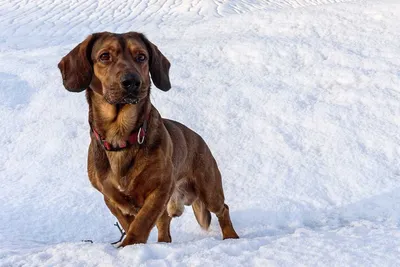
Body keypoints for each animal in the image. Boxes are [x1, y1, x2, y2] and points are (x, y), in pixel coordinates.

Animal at [57, 32, 239, 248]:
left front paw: (129, 246)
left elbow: (142, 222)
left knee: (223, 209)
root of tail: (199, 138)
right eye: (104, 56)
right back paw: (163, 243)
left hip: (209, 189)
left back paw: (231, 237)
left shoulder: (160, 188)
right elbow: (130, 222)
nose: (132, 82)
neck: (121, 136)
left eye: (141, 56)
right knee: (165, 223)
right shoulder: (110, 197)